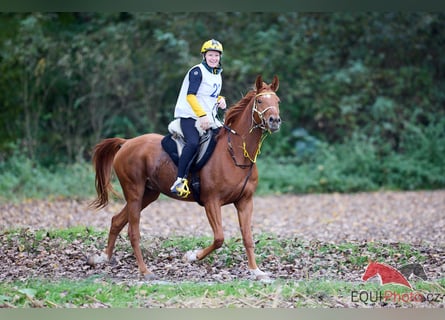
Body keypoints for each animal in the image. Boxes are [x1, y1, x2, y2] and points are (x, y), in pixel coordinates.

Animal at [88, 75, 280, 280]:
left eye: (277, 101)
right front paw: (191, 256)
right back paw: (145, 271)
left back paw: (103, 258)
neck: (235, 153)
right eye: (260, 101)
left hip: (148, 194)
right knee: (133, 231)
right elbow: (219, 238)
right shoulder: (212, 201)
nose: (274, 120)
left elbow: (247, 237)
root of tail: (126, 143)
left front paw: (256, 271)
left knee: (116, 221)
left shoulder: (245, 201)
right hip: (134, 193)